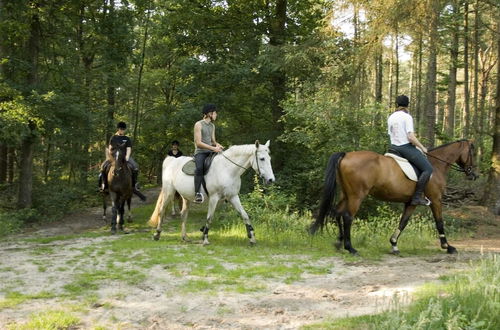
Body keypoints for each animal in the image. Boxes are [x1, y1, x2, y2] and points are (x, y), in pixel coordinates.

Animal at [148, 140, 276, 245]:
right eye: (262, 159)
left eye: (270, 159)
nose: (271, 180)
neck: (227, 169)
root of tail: (171, 160)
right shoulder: (214, 197)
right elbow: (209, 217)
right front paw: (205, 238)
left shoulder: (233, 197)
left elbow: (245, 215)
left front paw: (252, 238)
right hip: (169, 192)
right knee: (162, 210)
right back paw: (157, 234)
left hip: (186, 196)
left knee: (183, 214)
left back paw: (185, 237)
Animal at [310, 139, 478, 255]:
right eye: (473, 153)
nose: (474, 175)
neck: (437, 165)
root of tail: (346, 155)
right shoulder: (436, 199)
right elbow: (439, 222)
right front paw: (448, 247)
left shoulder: (411, 202)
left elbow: (403, 222)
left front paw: (394, 244)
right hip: (356, 195)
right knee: (347, 216)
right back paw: (350, 248)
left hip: (346, 194)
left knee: (337, 212)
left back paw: (339, 243)